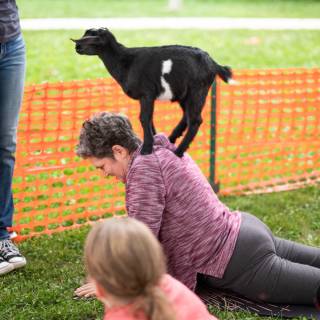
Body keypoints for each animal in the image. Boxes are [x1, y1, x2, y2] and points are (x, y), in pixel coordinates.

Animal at [72, 28, 232, 157]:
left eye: (91, 39)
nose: (77, 47)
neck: (125, 61)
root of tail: (214, 63)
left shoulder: (146, 93)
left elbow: (144, 118)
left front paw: (146, 149)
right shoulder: (148, 97)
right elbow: (149, 119)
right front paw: (154, 141)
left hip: (197, 90)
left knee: (195, 120)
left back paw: (178, 152)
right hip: (184, 94)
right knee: (187, 117)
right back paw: (172, 138)